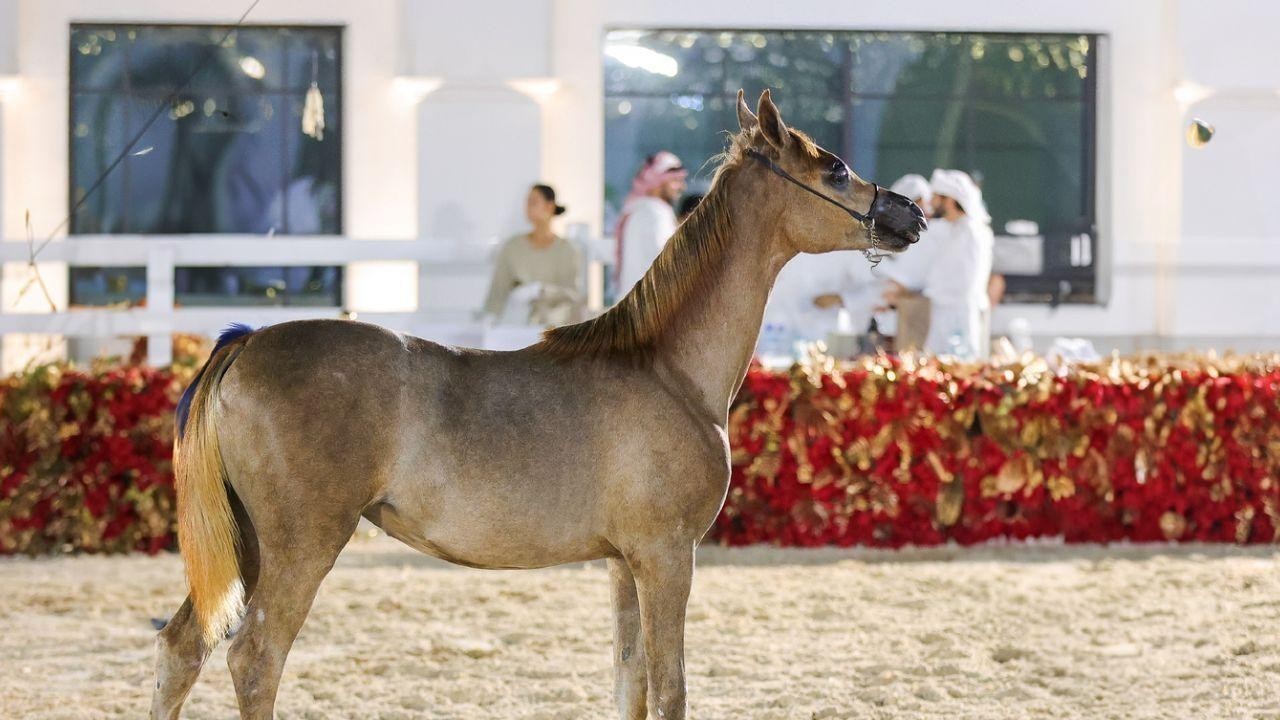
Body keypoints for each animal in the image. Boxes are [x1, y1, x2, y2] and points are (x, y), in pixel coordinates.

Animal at [151, 89, 925, 720]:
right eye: (834, 169)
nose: (909, 213)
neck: (667, 369)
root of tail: (247, 342)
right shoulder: (667, 555)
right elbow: (670, 691)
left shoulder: (624, 563)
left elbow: (630, 686)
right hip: (300, 543)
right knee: (255, 660)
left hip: (248, 541)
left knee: (182, 647)